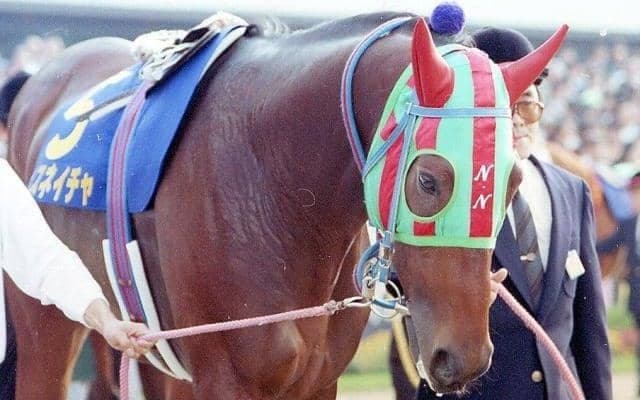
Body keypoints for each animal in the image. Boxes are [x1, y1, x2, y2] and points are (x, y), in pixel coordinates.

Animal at [6, 12, 564, 399]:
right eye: (428, 179)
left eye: (513, 180)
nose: (463, 357)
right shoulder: (225, 378)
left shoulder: (316, 380)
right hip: (44, 323)